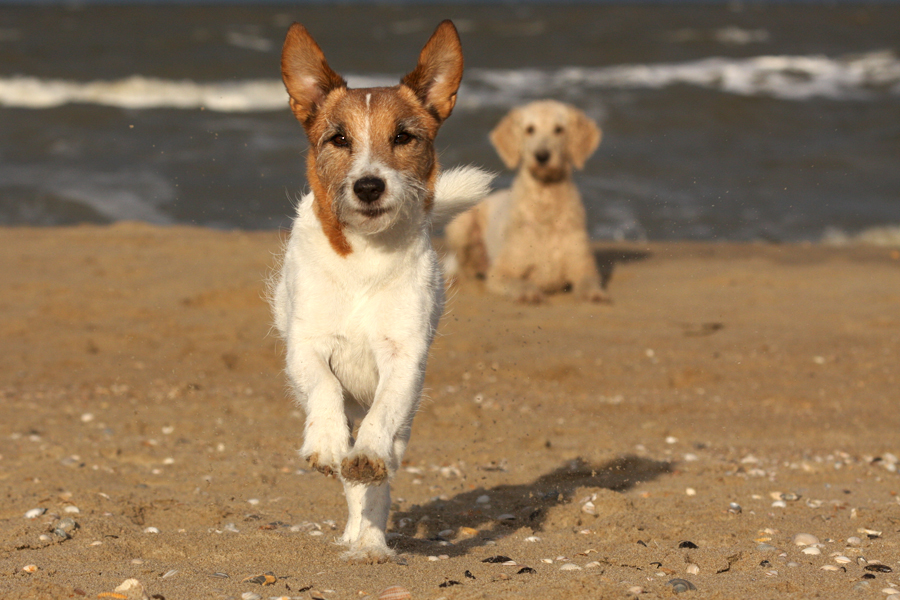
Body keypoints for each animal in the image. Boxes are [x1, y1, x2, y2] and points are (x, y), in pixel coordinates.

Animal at [268, 19, 492, 564]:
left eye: (404, 137)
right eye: (339, 138)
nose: (368, 186)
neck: (364, 260)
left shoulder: (404, 356)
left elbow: (382, 419)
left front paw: (367, 453)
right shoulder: (305, 346)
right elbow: (324, 387)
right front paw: (327, 442)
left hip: (404, 425)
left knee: (378, 479)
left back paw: (369, 540)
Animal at [442, 101, 604, 304]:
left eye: (559, 129)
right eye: (529, 129)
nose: (542, 156)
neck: (545, 203)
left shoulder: (583, 265)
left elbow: (589, 281)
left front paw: (594, 294)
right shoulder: (502, 271)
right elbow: (518, 282)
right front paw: (528, 292)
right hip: (461, 225)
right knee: (462, 268)